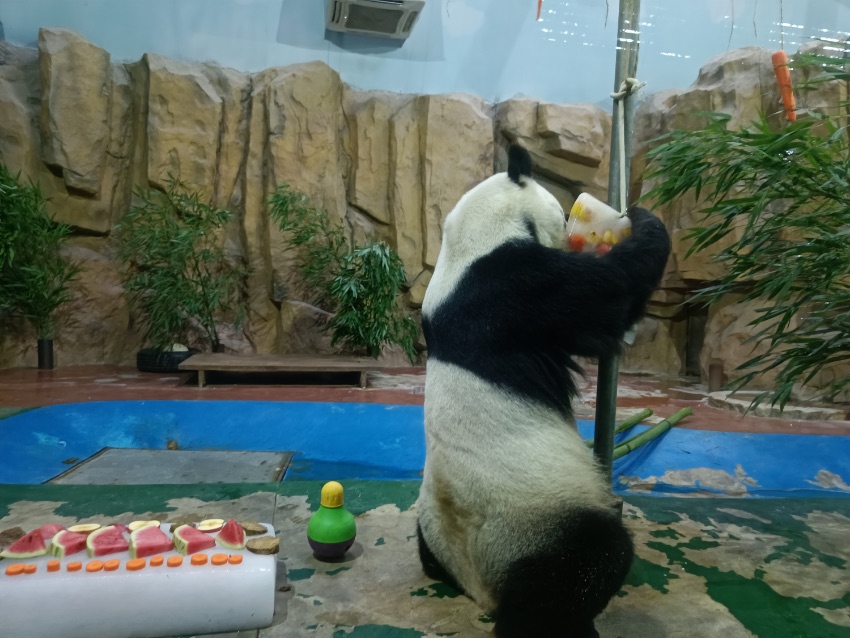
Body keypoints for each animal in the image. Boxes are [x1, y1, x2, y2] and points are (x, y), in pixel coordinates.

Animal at [416, 145, 668, 638]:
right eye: (562, 212)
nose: (570, 228)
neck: (469, 244)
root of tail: (478, 584)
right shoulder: (519, 289)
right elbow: (610, 296)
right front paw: (643, 221)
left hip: (431, 520)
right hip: (536, 520)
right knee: (586, 563)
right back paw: (550, 620)